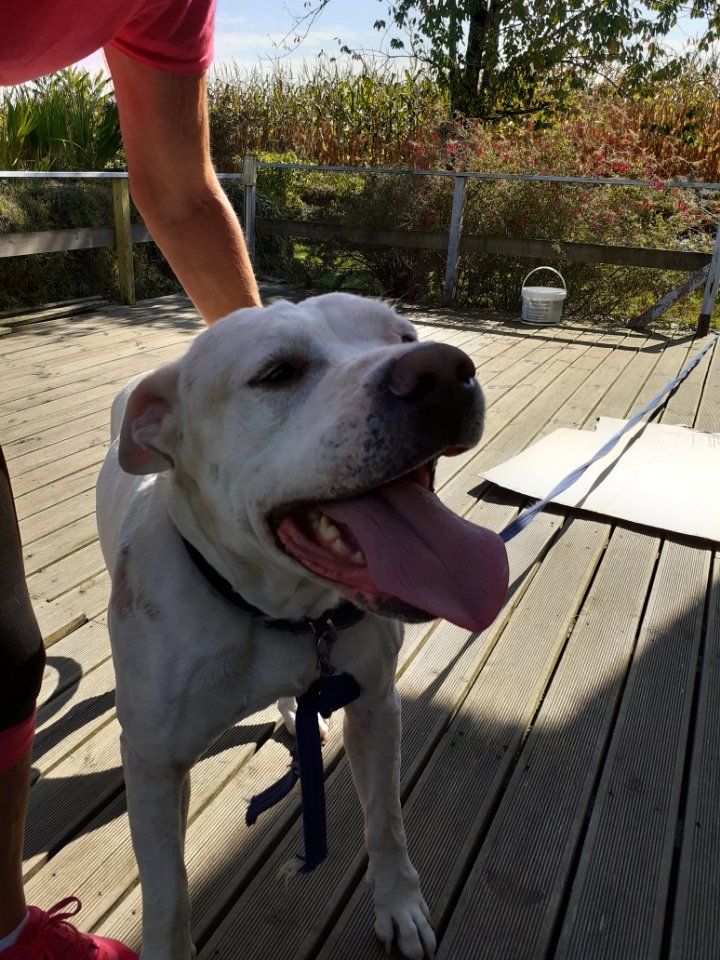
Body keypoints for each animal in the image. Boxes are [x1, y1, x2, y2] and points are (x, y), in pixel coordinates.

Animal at [96, 292, 509, 960]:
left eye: (404, 335)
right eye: (277, 373)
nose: (444, 369)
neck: (279, 609)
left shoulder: (376, 705)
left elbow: (386, 821)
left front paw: (399, 907)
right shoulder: (155, 764)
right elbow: (166, 891)